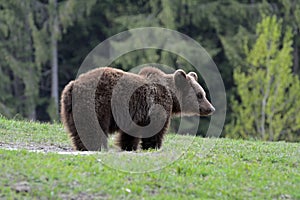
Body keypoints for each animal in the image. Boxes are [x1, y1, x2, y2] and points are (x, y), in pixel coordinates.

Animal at [61, 66, 214, 151]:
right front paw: (153, 146)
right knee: (93, 126)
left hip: (71, 108)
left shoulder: (137, 114)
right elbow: (156, 129)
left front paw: (129, 146)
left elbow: (130, 133)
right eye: (200, 95)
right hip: (97, 103)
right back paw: (96, 146)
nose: (211, 108)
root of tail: (73, 85)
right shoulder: (157, 105)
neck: (172, 94)